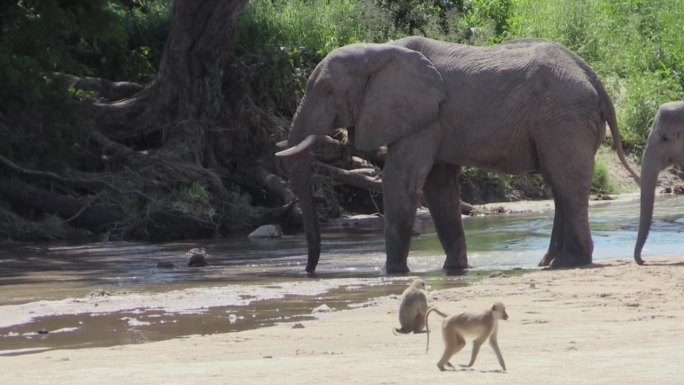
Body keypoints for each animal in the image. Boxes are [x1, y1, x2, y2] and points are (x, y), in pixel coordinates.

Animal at [276, 34, 640, 272]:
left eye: (328, 91)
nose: (309, 271)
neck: (379, 51)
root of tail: (592, 75)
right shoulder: (432, 119)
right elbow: (438, 186)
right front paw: (454, 270)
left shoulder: (423, 119)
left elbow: (402, 181)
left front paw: (392, 273)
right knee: (558, 183)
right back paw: (548, 263)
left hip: (563, 117)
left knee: (566, 181)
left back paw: (569, 263)